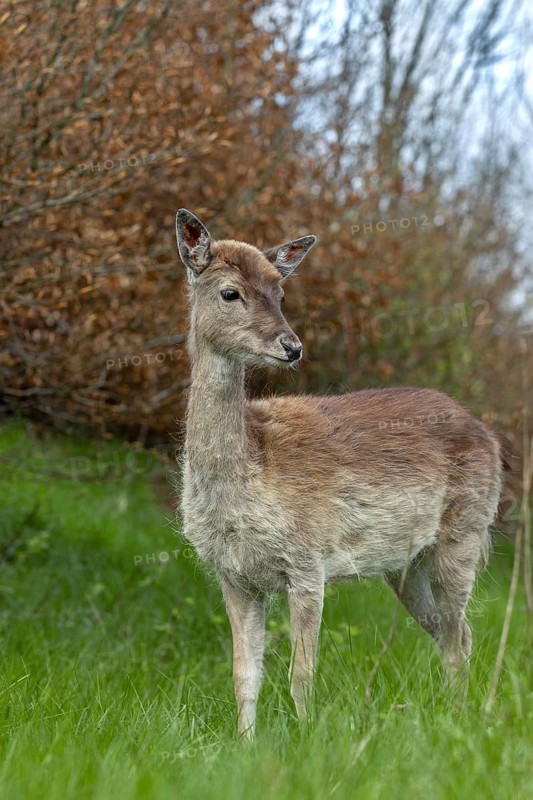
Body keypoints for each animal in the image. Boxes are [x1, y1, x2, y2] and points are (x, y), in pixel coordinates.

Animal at [175, 208, 504, 738]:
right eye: (230, 293)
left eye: (281, 292)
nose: (292, 347)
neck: (252, 473)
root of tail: (489, 435)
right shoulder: (234, 575)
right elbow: (244, 674)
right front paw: (243, 744)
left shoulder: (308, 560)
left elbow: (301, 673)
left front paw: (306, 739)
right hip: (406, 565)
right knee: (450, 631)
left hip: (466, 533)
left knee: (460, 633)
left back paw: (464, 720)